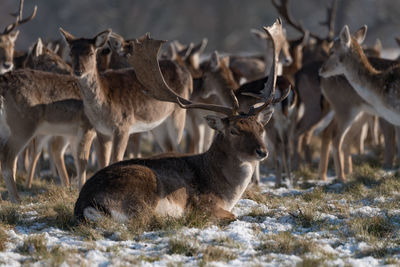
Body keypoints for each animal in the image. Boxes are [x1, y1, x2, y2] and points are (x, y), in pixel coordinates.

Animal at [74, 19, 288, 223]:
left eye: (260, 128)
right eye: (234, 130)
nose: (262, 151)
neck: (225, 191)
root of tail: (85, 204)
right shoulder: (204, 204)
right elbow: (232, 215)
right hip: (143, 191)